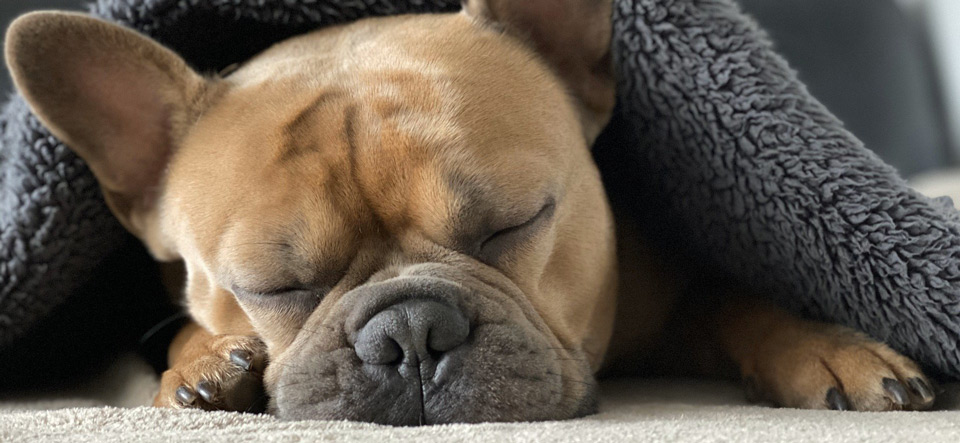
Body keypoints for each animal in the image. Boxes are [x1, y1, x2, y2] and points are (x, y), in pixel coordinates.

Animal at [5, 0, 936, 424]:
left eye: (514, 223)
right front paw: (203, 363)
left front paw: (825, 345)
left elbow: (734, 296)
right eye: (272, 284)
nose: (409, 331)